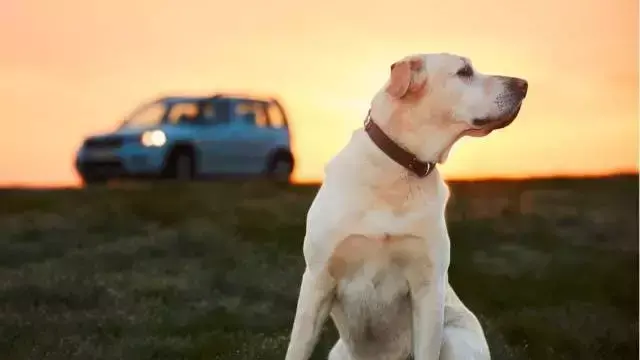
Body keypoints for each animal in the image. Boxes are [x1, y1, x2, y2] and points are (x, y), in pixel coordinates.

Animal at [286, 52, 528, 360]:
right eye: (464, 72)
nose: (524, 84)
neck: (399, 169)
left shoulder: (428, 286)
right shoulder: (318, 278)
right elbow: (297, 348)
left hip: (455, 337)